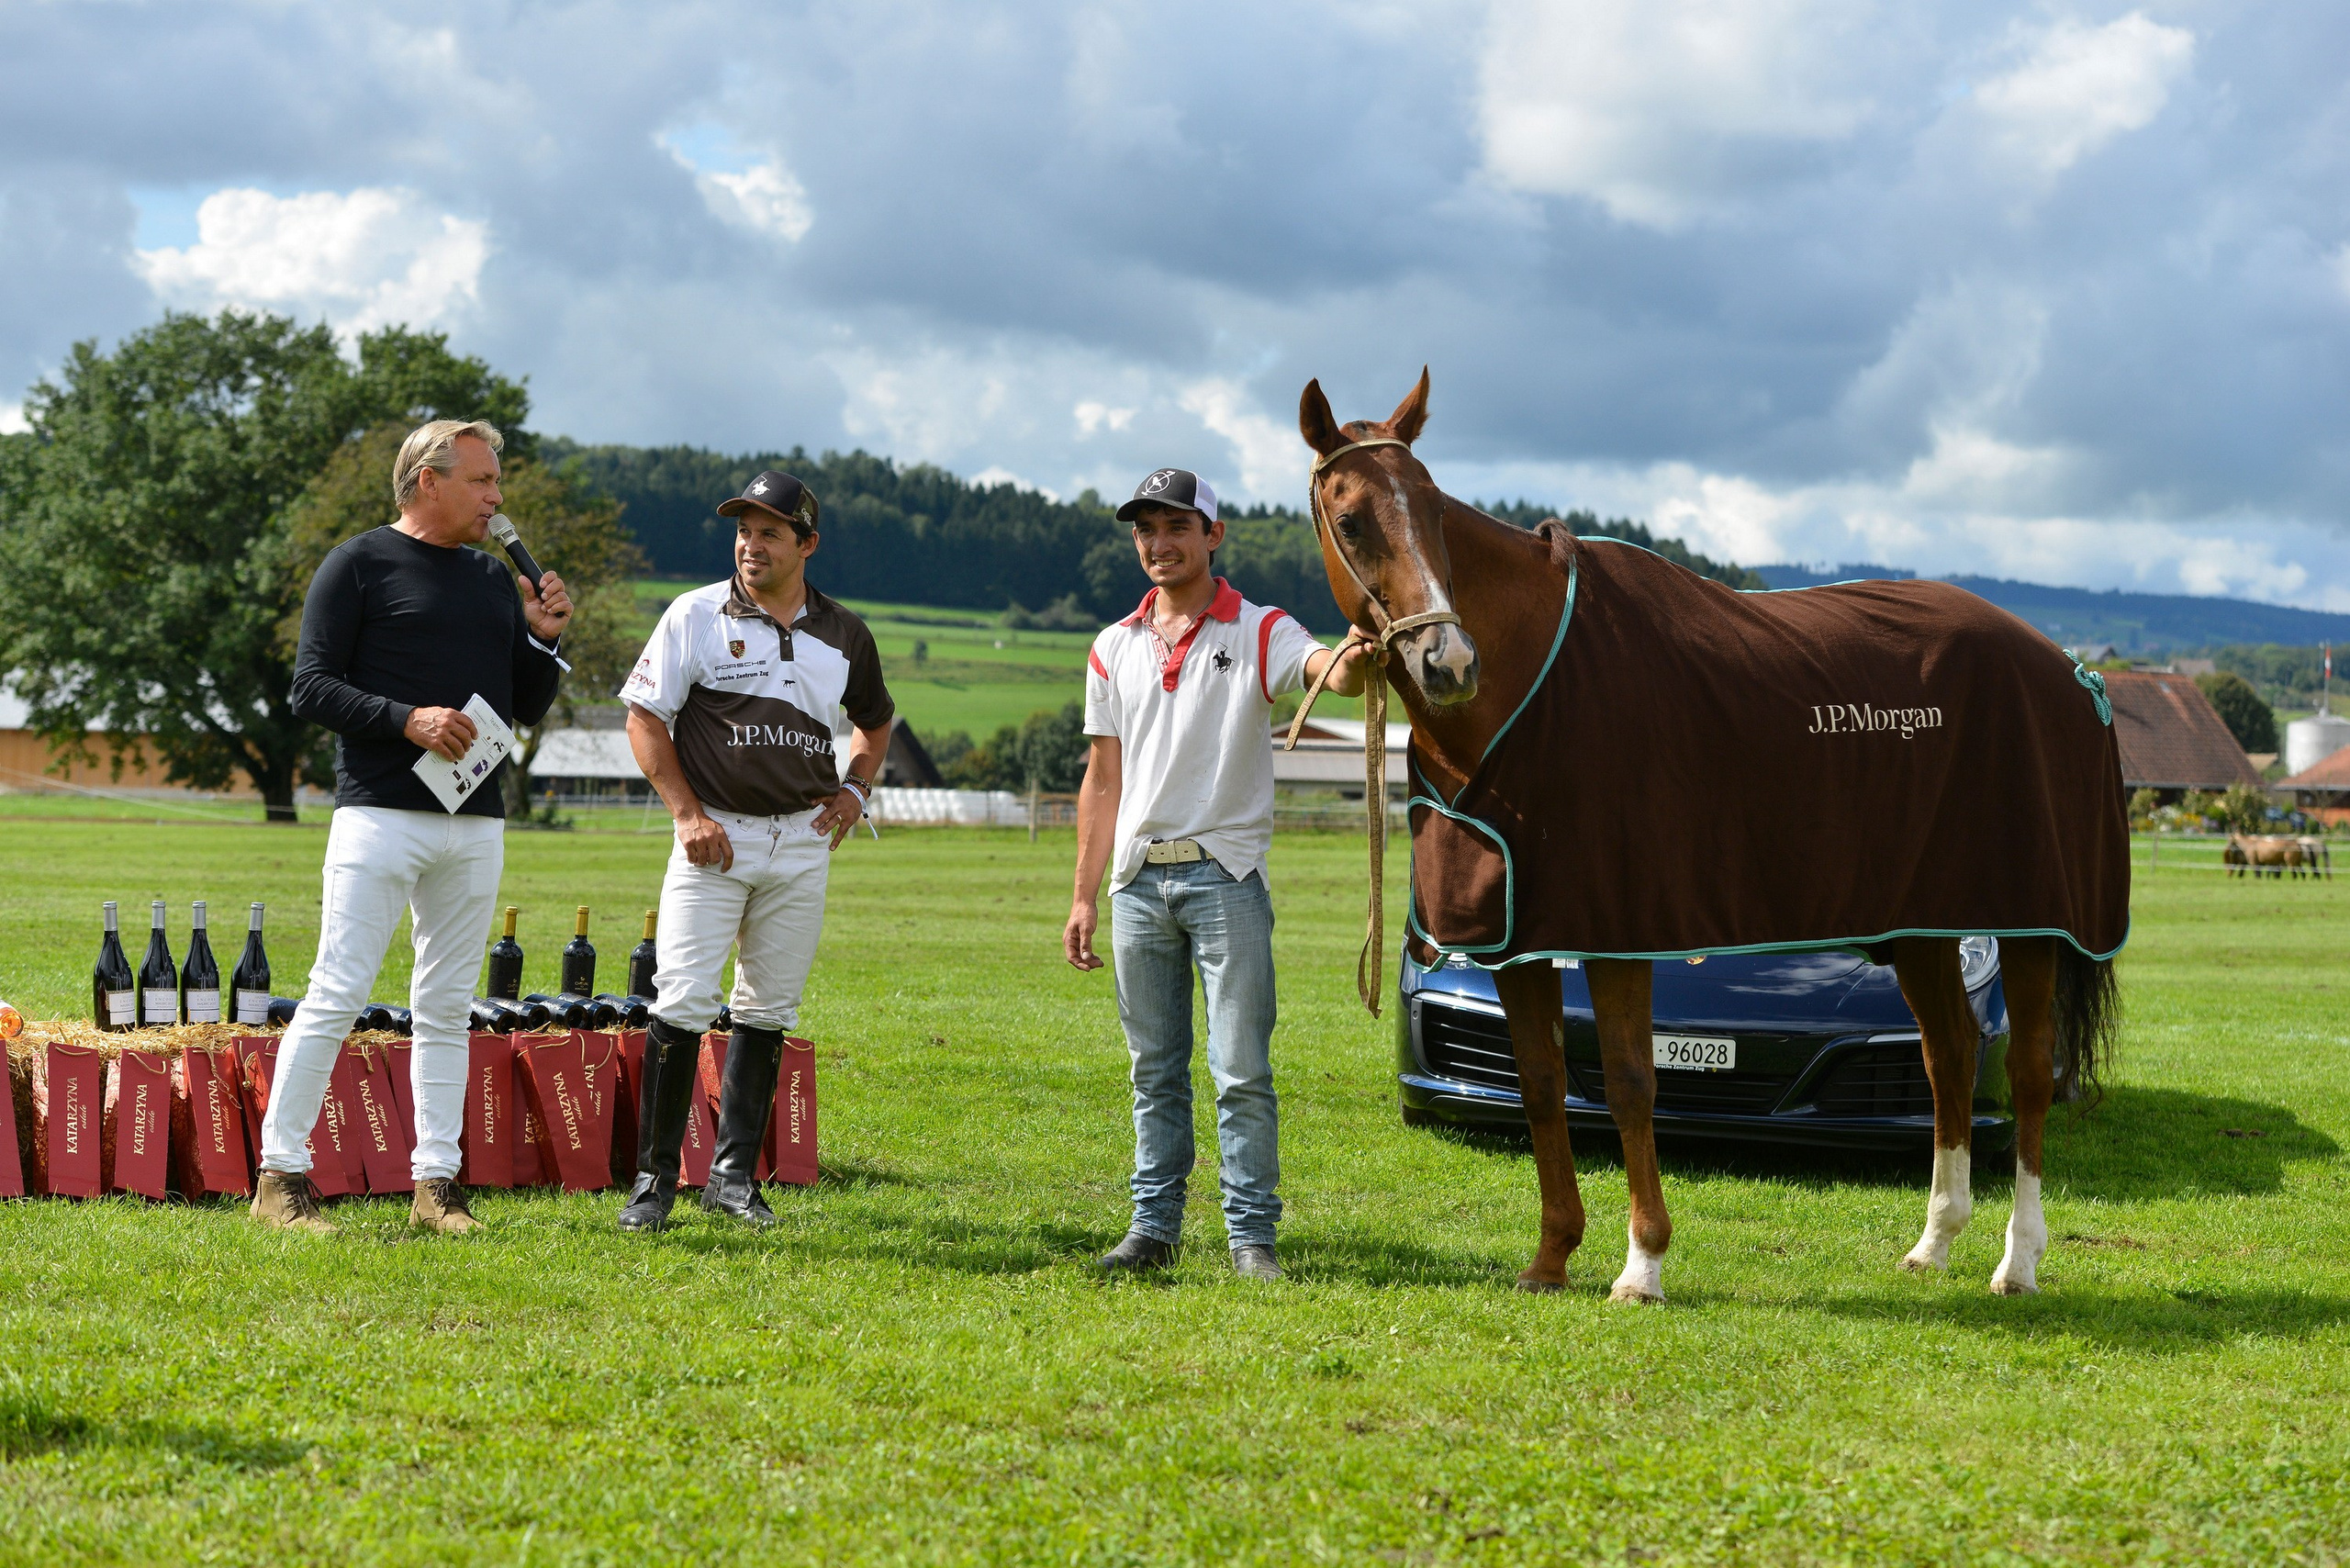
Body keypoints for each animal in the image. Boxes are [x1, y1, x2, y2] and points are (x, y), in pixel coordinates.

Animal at [1296, 370, 2126, 1301]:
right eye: (1352, 520)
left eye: (1435, 511)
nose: (1448, 662)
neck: (1531, 680)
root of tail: (2075, 674)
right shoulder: (1519, 936)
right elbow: (1544, 1082)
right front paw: (1551, 1257)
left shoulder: (1616, 930)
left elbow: (1630, 1083)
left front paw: (1642, 1264)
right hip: (1922, 924)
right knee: (1947, 1057)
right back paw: (1934, 1242)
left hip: (2030, 924)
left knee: (2024, 1076)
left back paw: (2017, 1261)